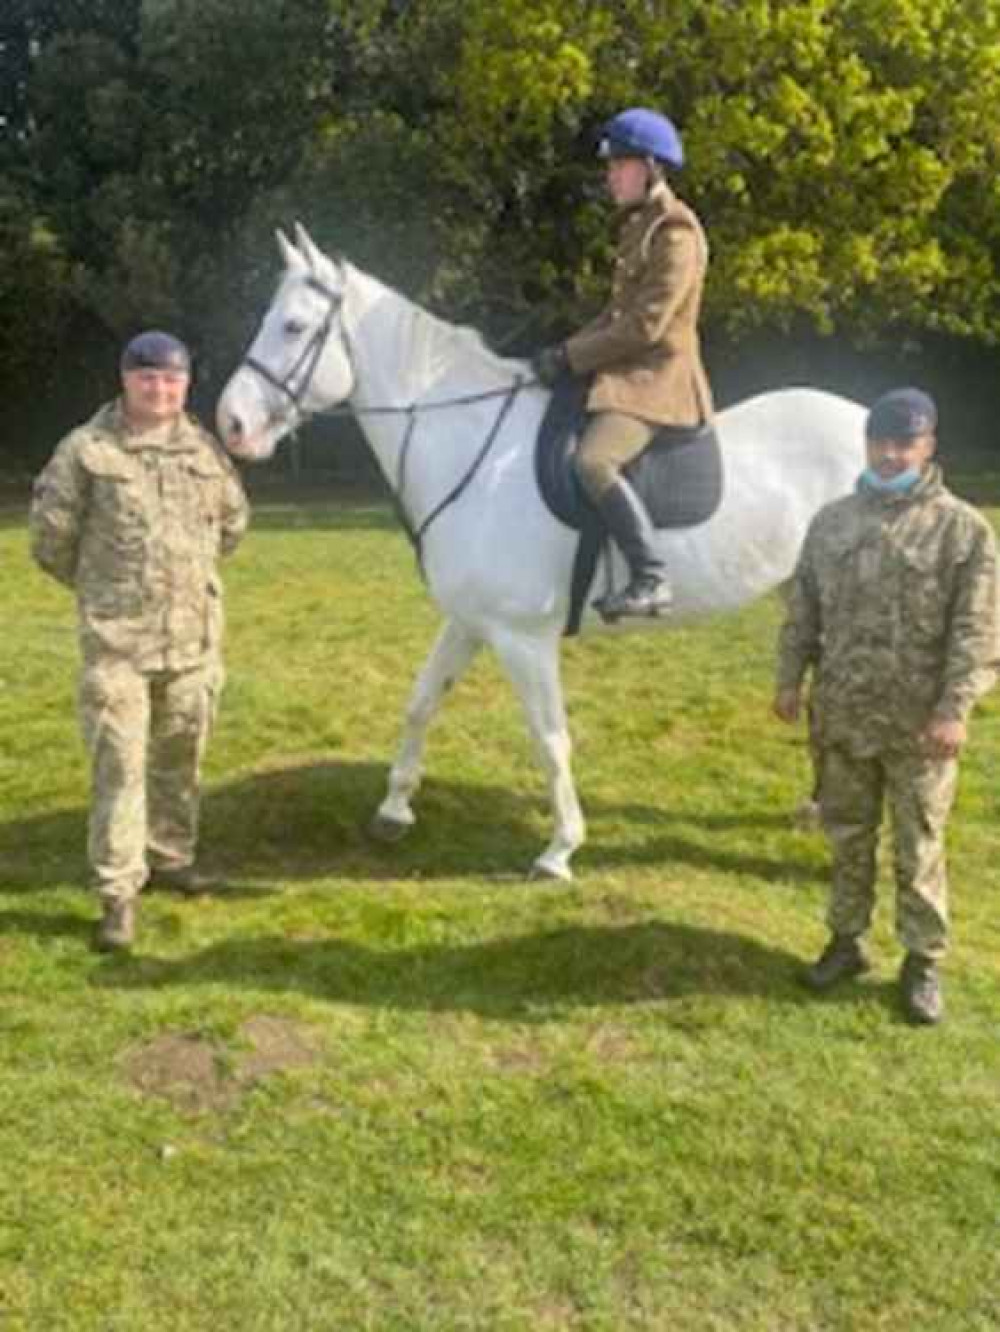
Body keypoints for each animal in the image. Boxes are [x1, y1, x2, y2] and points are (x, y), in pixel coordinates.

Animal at [218, 223, 868, 879]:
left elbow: (549, 738)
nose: (231, 423)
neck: (473, 453)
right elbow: (421, 701)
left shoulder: (522, 637)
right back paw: (819, 809)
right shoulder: (469, 620)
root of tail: (865, 417)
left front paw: (560, 849)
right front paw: (394, 811)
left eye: (293, 326)